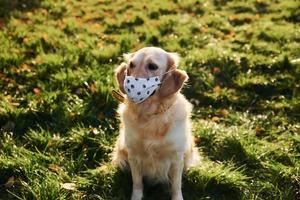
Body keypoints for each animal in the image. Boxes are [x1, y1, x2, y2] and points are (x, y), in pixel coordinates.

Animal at [111, 47, 198, 200]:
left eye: (152, 66)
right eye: (131, 65)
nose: (128, 88)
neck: (150, 115)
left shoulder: (176, 158)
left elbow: (176, 186)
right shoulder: (133, 155)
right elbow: (137, 183)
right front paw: (136, 197)